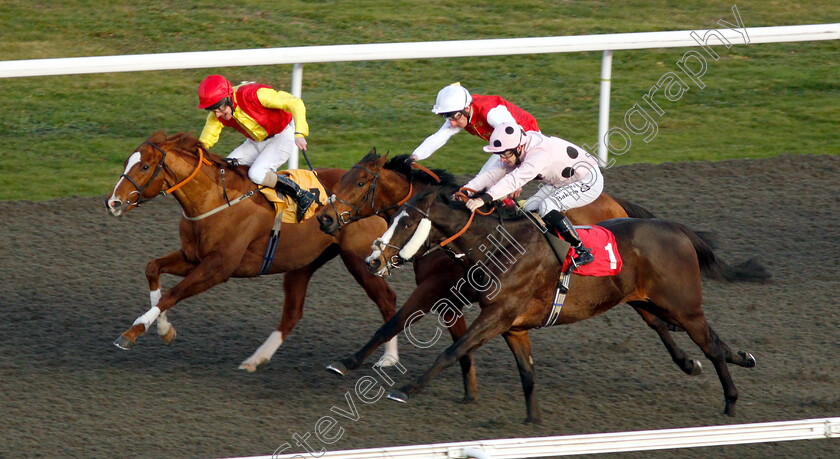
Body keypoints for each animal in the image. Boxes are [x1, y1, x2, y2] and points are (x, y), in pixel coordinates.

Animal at [106, 131, 400, 372]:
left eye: (145, 166)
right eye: (125, 162)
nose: (113, 202)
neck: (213, 199)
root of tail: (379, 199)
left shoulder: (219, 267)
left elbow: (172, 293)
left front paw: (132, 332)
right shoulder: (193, 257)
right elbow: (152, 268)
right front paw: (164, 329)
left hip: (360, 260)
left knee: (387, 301)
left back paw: (389, 358)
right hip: (303, 262)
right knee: (292, 313)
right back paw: (255, 359)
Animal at [312, 151, 672, 402]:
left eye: (360, 183)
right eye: (342, 178)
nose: (325, 218)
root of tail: (617, 206)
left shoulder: (436, 290)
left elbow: (403, 324)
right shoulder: (450, 297)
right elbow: (441, 336)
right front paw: (469, 392)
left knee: (656, 318)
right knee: (655, 317)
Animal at [364, 188, 764, 424]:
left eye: (408, 222)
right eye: (392, 217)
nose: (373, 260)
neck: (498, 246)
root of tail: (677, 229)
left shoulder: (497, 315)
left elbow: (451, 351)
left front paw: (406, 389)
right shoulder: (513, 326)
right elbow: (527, 373)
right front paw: (533, 420)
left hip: (683, 306)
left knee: (711, 346)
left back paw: (730, 400)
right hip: (651, 303)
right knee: (699, 338)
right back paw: (738, 358)